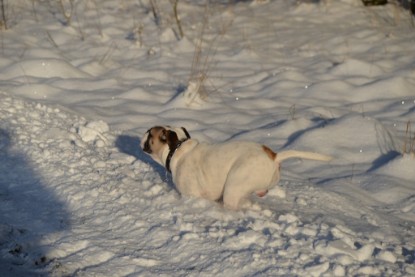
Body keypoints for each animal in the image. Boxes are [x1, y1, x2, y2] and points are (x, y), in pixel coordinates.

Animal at [141, 126, 334, 208]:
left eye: (150, 134)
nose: (142, 134)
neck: (178, 148)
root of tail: (273, 156)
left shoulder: (191, 194)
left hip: (233, 188)